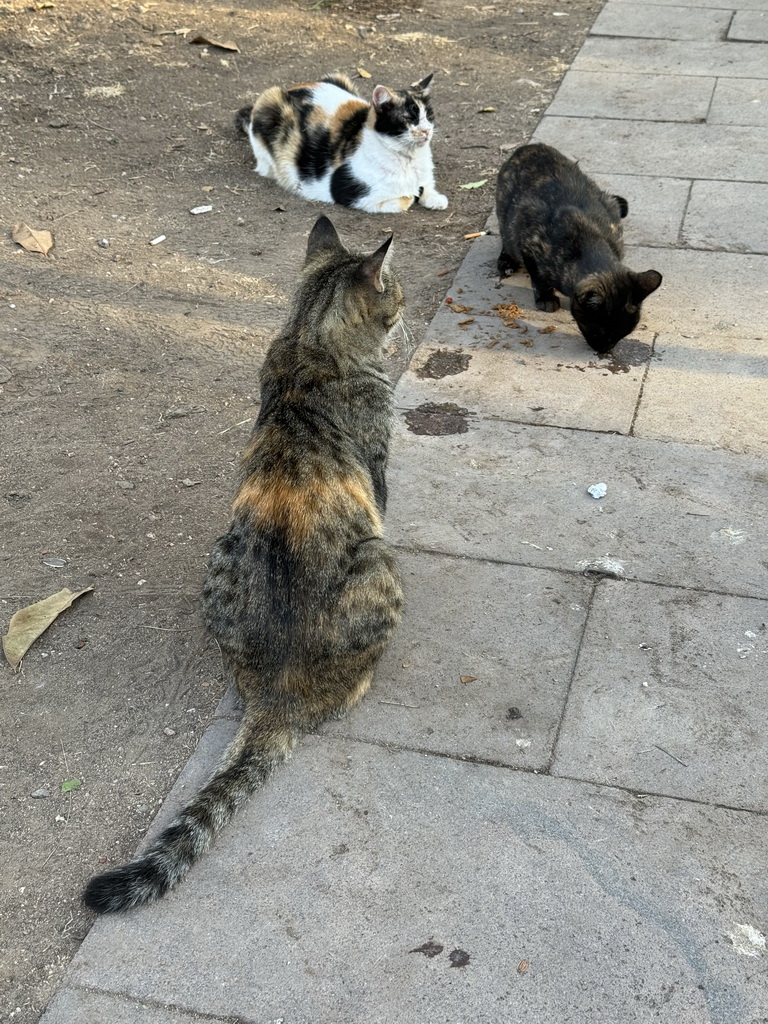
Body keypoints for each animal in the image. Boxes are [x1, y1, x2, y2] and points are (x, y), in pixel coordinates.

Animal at [82, 214, 409, 913]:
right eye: (396, 298)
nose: (408, 318)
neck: (310, 339)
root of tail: (279, 695)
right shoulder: (380, 471)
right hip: (379, 559)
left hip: (220, 560)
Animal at [237, 74, 448, 216]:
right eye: (408, 119)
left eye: (429, 116)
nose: (426, 131)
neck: (410, 159)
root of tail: (292, 88)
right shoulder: (351, 192)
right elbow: (406, 198)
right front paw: (413, 195)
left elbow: (427, 186)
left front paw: (435, 198)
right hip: (269, 101)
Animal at [495, 142, 663, 354]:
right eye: (600, 330)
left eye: (624, 333)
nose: (606, 349)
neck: (587, 240)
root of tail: (529, 146)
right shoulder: (527, 240)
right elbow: (538, 275)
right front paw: (545, 298)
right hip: (506, 219)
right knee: (506, 239)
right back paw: (506, 262)